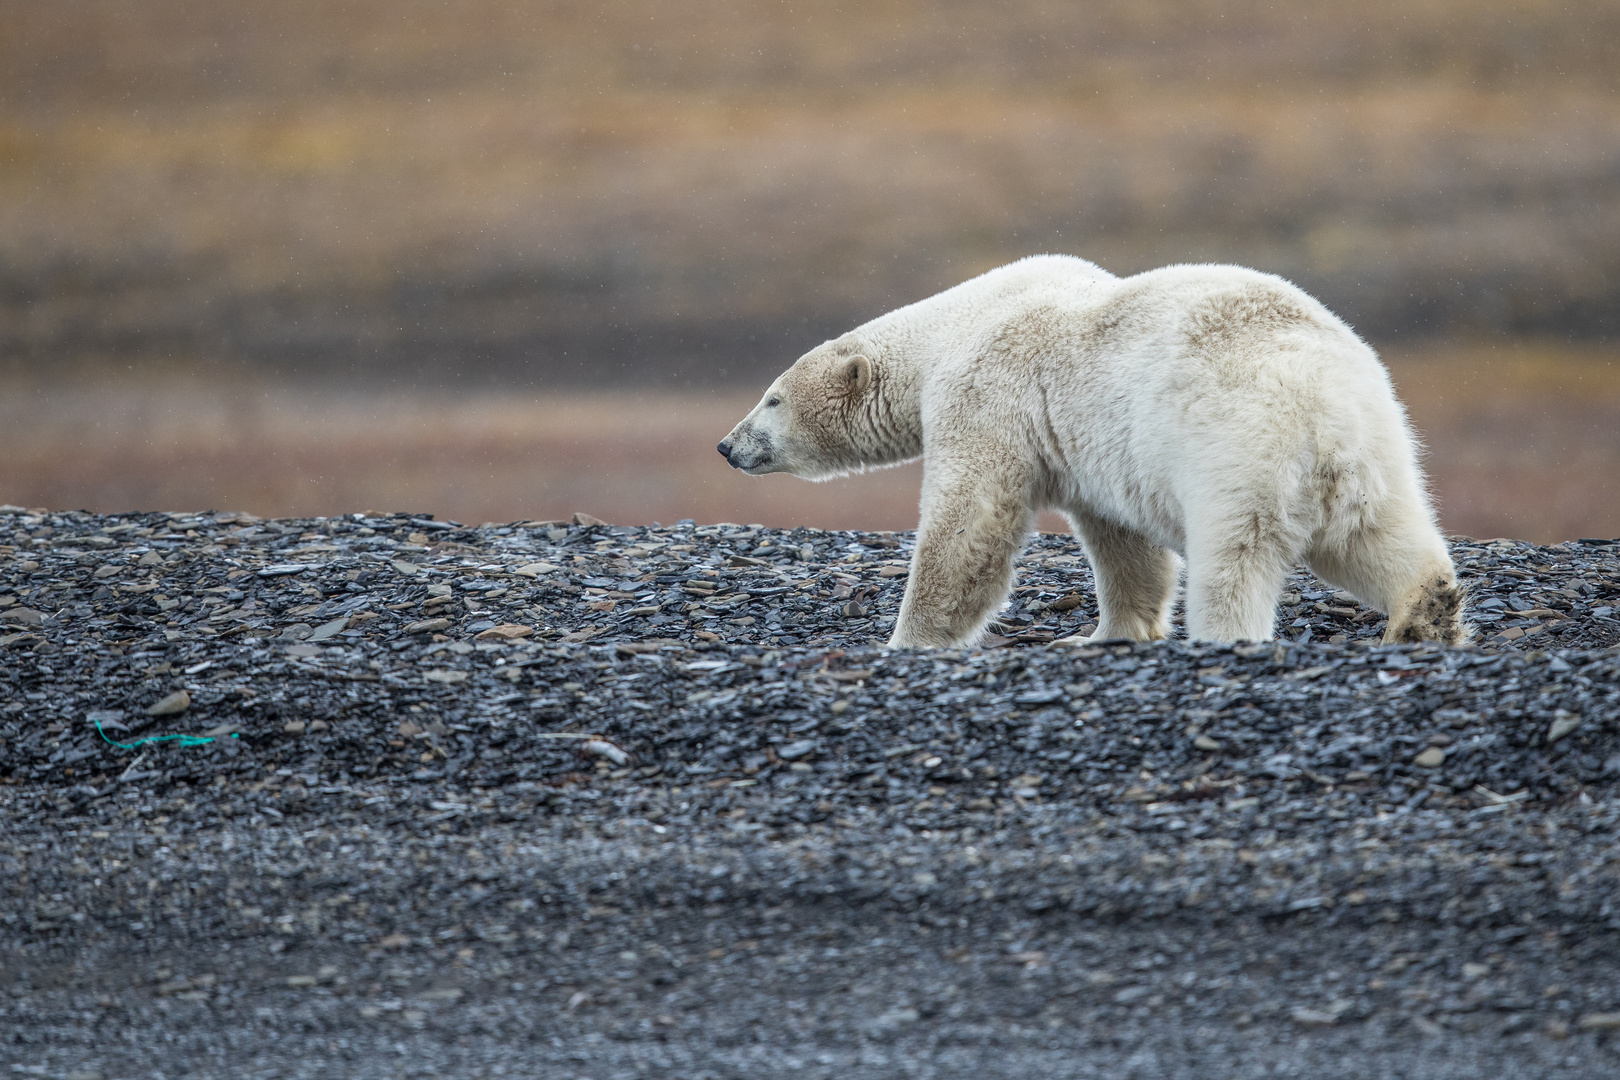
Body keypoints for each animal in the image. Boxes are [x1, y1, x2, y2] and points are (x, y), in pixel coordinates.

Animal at [716, 255, 1464, 650]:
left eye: (771, 399)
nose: (727, 445)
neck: (956, 324)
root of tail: (1324, 406)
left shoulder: (987, 395)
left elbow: (969, 520)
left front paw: (908, 640)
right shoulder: (1094, 451)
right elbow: (1122, 539)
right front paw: (1105, 633)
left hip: (1235, 447)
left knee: (1235, 558)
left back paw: (1224, 636)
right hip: (1377, 447)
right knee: (1379, 536)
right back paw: (1425, 614)